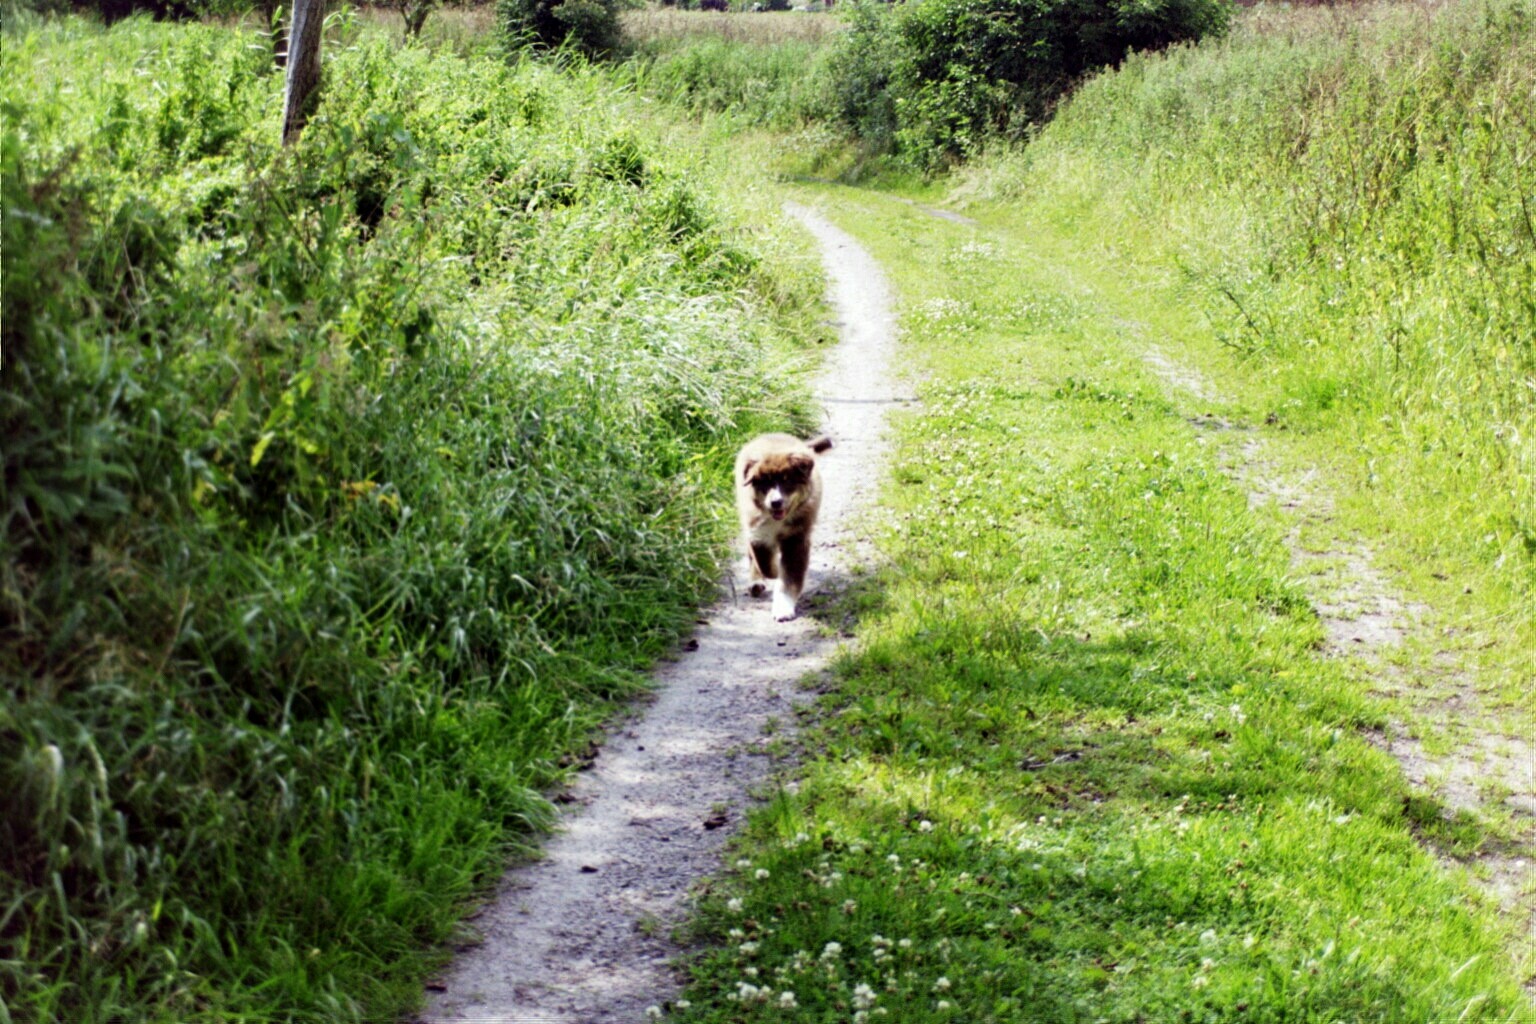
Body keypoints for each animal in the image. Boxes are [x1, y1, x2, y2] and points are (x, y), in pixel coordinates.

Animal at [737, 429, 835, 620]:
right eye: (764, 483)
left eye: (787, 481)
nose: (776, 502)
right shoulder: (756, 531)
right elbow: (764, 562)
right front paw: (775, 570)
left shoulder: (796, 538)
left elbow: (789, 579)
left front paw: (783, 608)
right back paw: (756, 582)